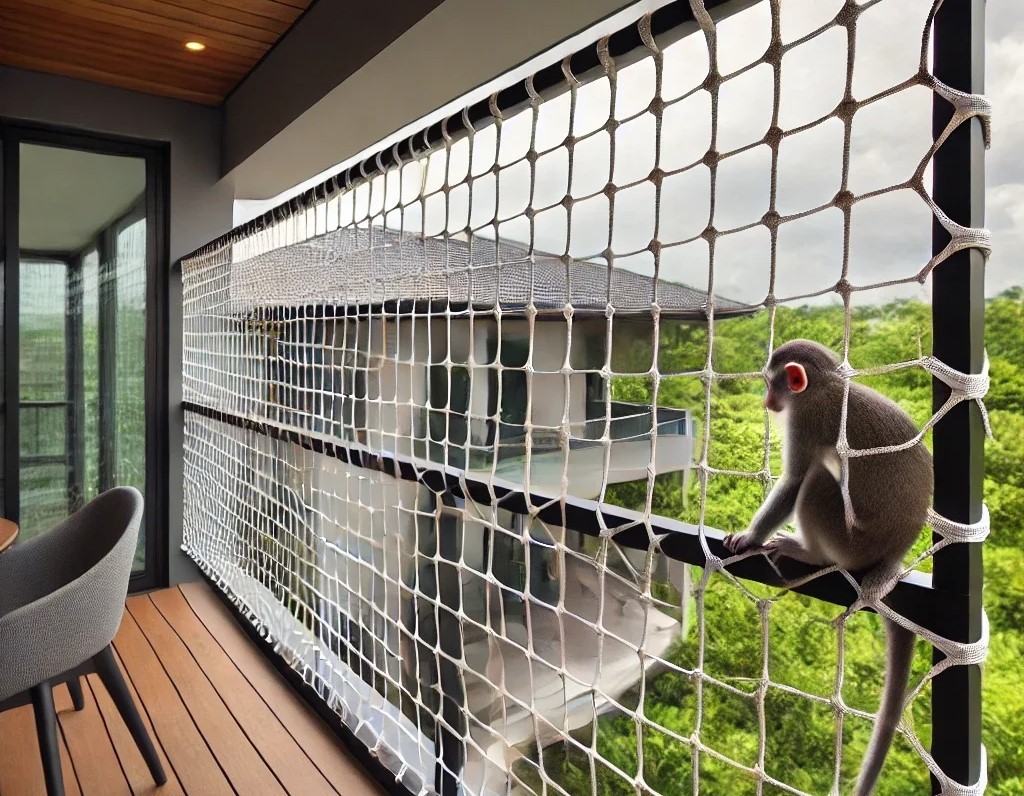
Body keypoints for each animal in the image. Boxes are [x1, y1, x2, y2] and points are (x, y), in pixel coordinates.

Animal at [722, 339, 933, 796]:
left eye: (773, 384)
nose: (767, 401)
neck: (828, 384)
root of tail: (892, 554)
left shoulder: (806, 419)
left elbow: (795, 482)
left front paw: (751, 537)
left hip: (849, 540)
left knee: (817, 479)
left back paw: (812, 555)